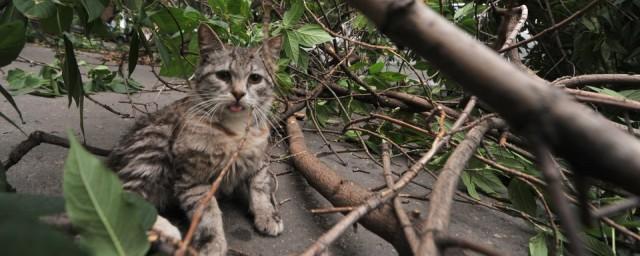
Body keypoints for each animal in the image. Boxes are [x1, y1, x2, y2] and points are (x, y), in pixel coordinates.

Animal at [107, 23, 282, 254]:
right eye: (223, 75)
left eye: (255, 78)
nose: (238, 94)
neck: (235, 129)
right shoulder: (193, 178)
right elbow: (208, 212)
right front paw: (213, 241)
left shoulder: (259, 158)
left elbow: (260, 186)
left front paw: (267, 214)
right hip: (155, 143)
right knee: (124, 197)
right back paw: (166, 231)